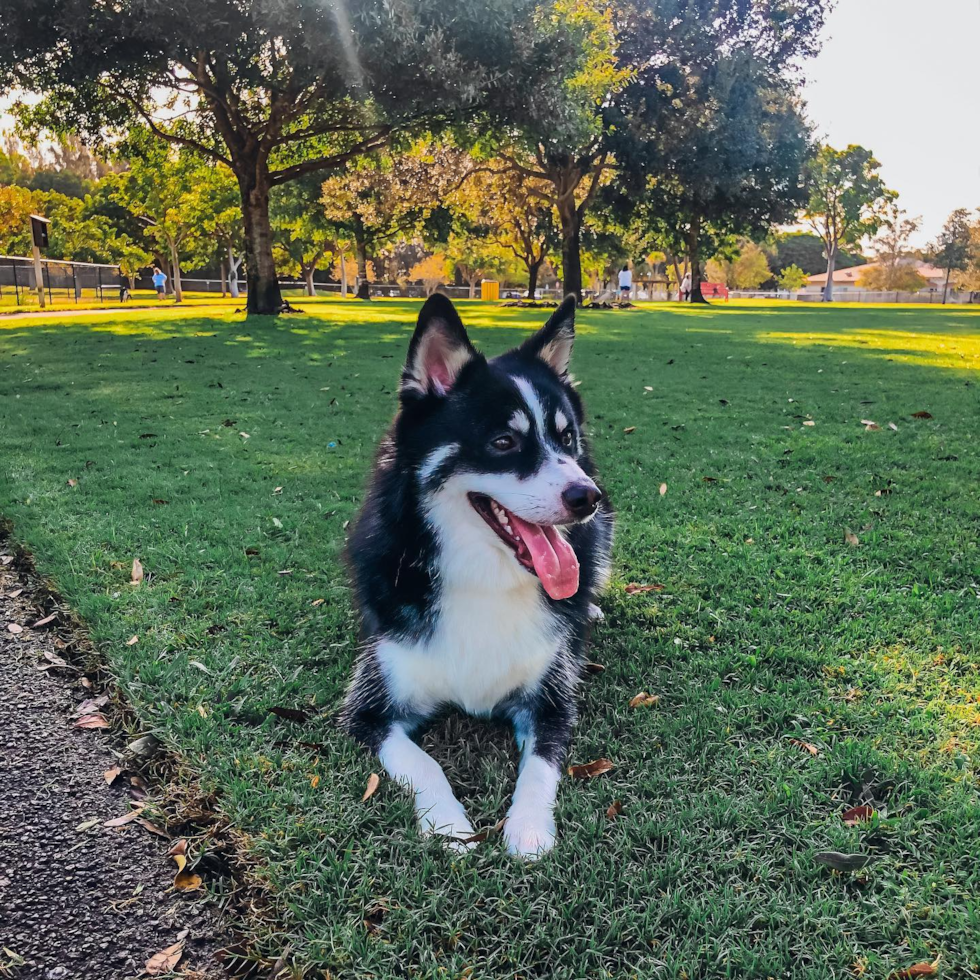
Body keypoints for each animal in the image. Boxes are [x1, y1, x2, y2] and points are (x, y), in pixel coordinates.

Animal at [338, 292, 612, 856]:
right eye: (504, 441)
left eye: (566, 437)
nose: (588, 497)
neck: (485, 578)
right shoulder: (369, 709)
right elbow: (422, 763)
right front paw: (448, 824)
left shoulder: (552, 701)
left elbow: (540, 768)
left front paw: (528, 829)